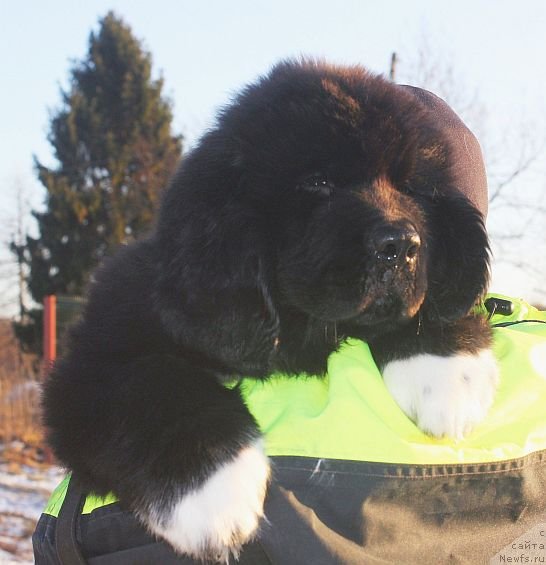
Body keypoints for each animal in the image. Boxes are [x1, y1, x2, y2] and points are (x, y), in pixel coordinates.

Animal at [43, 60, 498, 560]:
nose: (400, 245)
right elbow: (155, 383)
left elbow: (432, 305)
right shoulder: (94, 361)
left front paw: (447, 373)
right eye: (318, 182)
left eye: (412, 188)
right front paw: (214, 491)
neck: (301, 328)